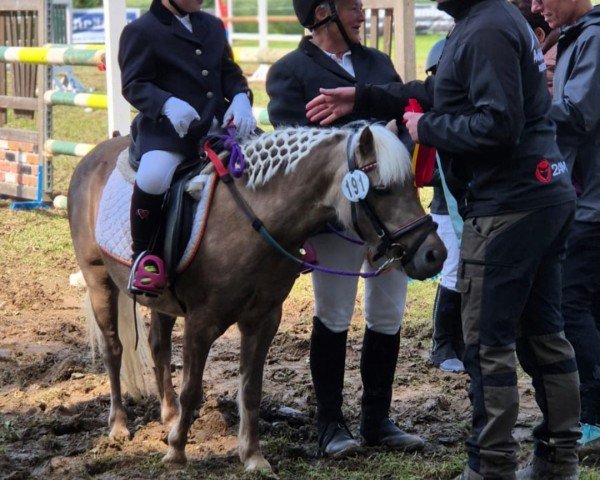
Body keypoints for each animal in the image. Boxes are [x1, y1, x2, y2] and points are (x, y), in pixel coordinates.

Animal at [69, 124, 446, 472]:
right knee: (114, 349)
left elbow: (251, 389)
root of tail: (95, 154)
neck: (252, 221)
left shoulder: (263, 319)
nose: (435, 255)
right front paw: (177, 452)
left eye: (413, 185)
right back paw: (119, 426)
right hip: (98, 279)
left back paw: (169, 415)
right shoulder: (202, 321)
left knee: (158, 346)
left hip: (163, 301)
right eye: (381, 190)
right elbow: (192, 388)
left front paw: (252, 457)